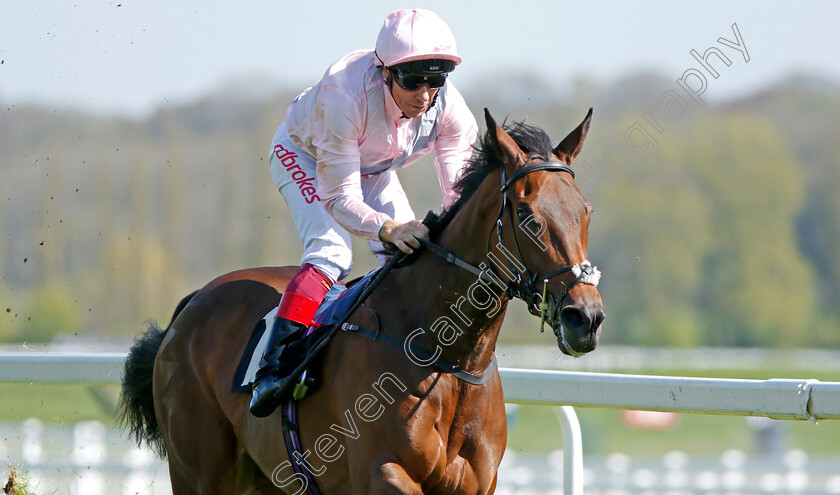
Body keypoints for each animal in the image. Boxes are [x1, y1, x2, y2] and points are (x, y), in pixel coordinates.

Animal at [118, 109, 604, 495]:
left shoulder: (478, 483)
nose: (585, 317)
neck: (446, 357)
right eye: (527, 216)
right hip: (200, 472)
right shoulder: (382, 474)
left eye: (585, 211)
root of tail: (193, 305)